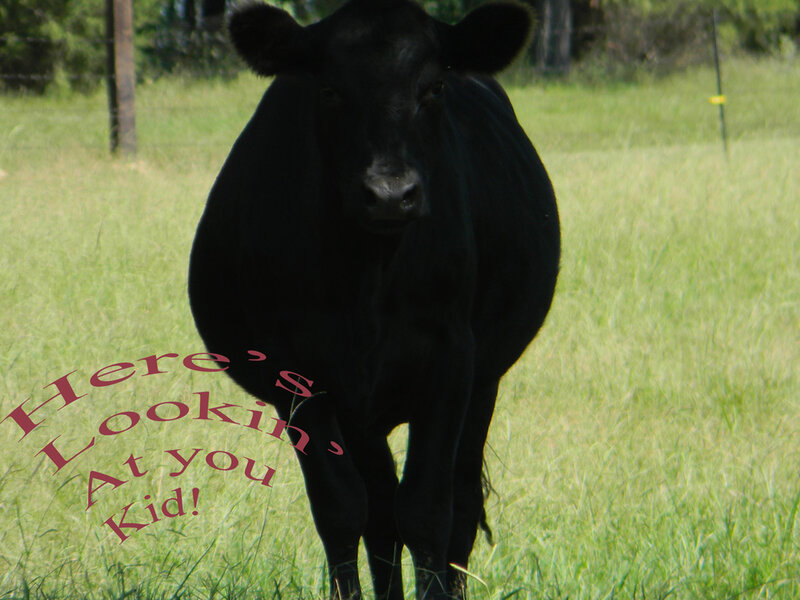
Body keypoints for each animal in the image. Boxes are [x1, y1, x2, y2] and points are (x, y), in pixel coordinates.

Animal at [188, 0, 560, 598]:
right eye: (329, 89)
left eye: (433, 87)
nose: (390, 193)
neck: (368, 273)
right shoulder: (299, 374)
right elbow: (342, 510)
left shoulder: (451, 359)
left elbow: (429, 510)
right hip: (362, 413)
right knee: (380, 511)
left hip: (483, 381)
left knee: (456, 506)